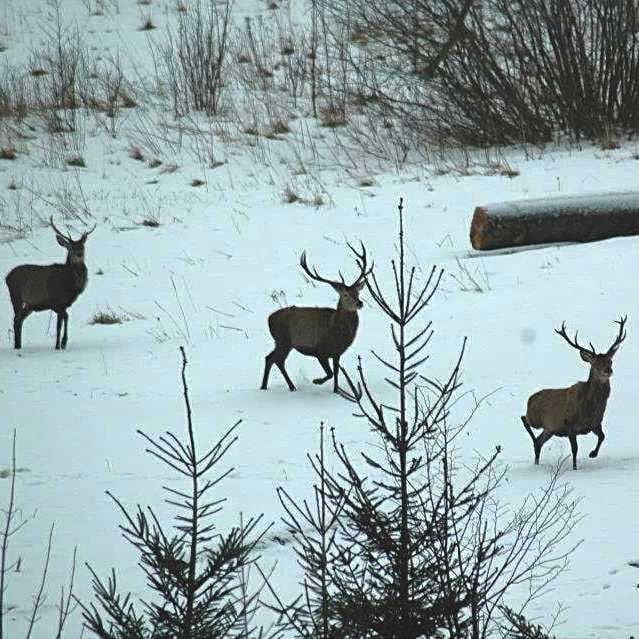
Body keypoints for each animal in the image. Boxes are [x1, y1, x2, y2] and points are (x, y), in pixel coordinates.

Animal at [4, 219, 95, 350]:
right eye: (70, 248)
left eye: (82, 247)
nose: (79, 254)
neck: (70, 285)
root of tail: (7, 277)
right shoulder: (57, 302)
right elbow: (59, 325)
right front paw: (58, 345)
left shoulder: (61, 305)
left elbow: (65, 318)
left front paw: (63, 343)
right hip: (15, 296)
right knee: (16, 320)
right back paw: (17, 346)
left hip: (29, 305)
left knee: (19, 320)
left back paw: (18, 345)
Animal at [258, 242, 370, 396]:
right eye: (345, 295)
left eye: (358, 293)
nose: (360, 303)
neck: (336, 331)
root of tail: (269, 318)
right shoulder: (320, 351)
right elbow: (330, 373)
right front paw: (316, 381)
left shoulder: (337, 353)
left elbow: (336, 373)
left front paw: (336, 391)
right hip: (283, 340)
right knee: (276, 359)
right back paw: (287, 386)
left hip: (283, 342)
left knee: (270, 358)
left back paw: (269, 386)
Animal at [524, 316, 628, 470]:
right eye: (595, 364)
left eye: (610, 361)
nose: (608, 371)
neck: (590, 408)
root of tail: (530, 399)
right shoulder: (570, 425)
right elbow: (575, 449)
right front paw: (575, 468)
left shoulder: (595, 424)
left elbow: (602, 436)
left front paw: (592, 454)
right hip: (535, 419)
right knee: (524, 419)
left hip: (550, 429)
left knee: (538, 441)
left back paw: (537, 462)